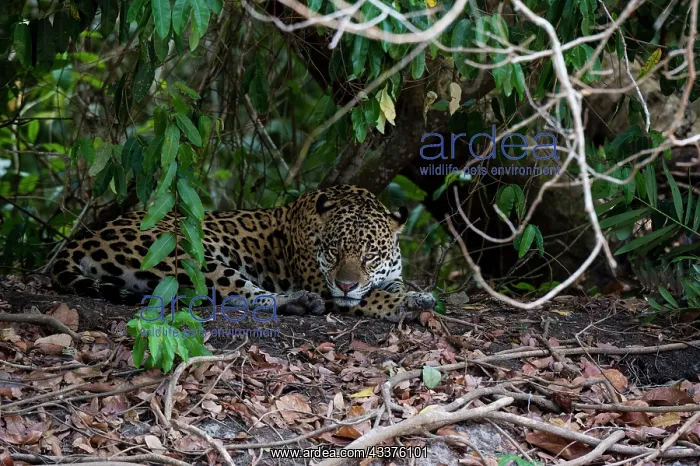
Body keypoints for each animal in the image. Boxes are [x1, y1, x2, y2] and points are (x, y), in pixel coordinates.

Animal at [50, 185, 435, 322]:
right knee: (242, 295)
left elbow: (391, 287)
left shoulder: (389, 275)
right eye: (333, 252)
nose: (345, 284)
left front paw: (412, 297)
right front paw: (406, 304)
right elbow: (371, 298)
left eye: (370, 255)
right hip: (186, 255)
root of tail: (82, 240)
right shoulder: (324, 283)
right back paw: (299, 301)